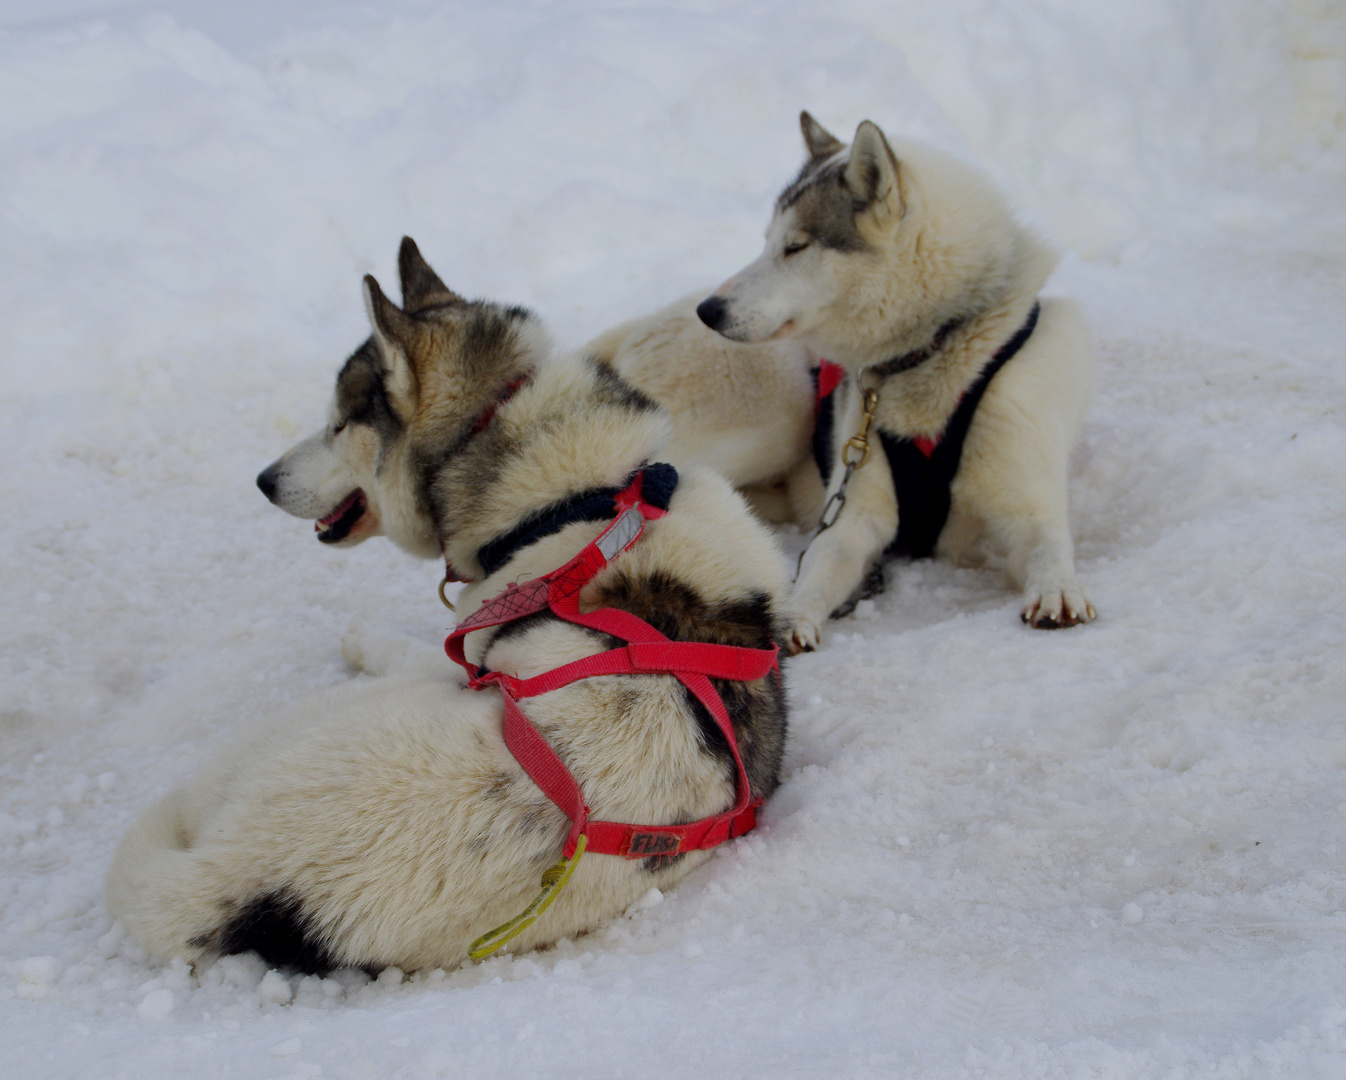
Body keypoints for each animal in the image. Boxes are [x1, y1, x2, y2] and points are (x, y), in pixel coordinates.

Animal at [113, 239, 796, 969]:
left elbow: (410, 643)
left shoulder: (463, 654)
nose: (264, 481)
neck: (588, 495)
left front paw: (364, 634)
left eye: (338, 423)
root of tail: (238, 881)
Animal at [699, 111, 1098, 649]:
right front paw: (792, 617)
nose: (709, 310)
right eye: (767, 242)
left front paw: (1058, 589)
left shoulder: (1028, 500)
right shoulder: (852, 514)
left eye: (795, 246)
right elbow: (819, 564)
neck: (934, 349)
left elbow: (1049, 544)